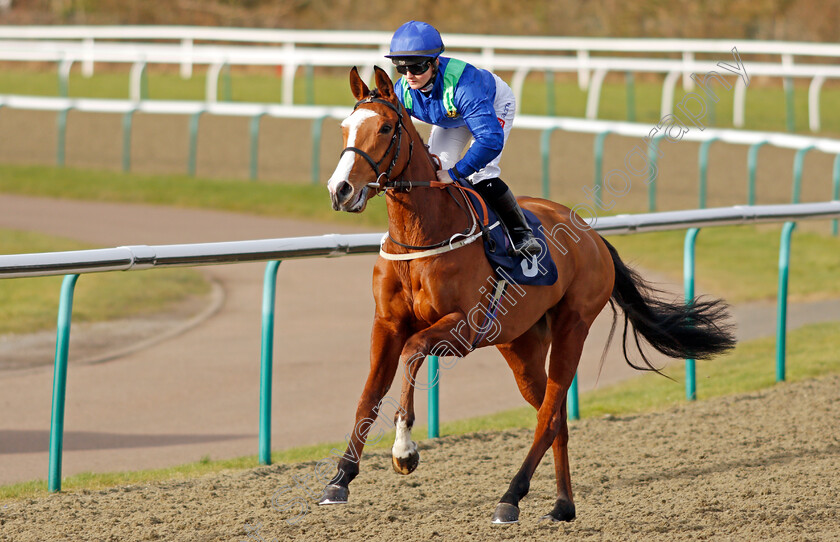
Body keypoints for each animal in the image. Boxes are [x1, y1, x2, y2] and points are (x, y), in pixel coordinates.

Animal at [318, 66, 732, 524]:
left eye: (386, 128)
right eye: (345, 128)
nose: (340, 190)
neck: (421, 237)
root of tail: (593, 237)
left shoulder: (462, 330)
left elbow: (411, 353)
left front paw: (404, 451)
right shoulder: (386, 324)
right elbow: (369, 395)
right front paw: (341, 478)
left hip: (573, 327)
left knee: (549, 417)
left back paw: (511, 497)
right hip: (521, 343)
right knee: (556, 418)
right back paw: (563, 504)